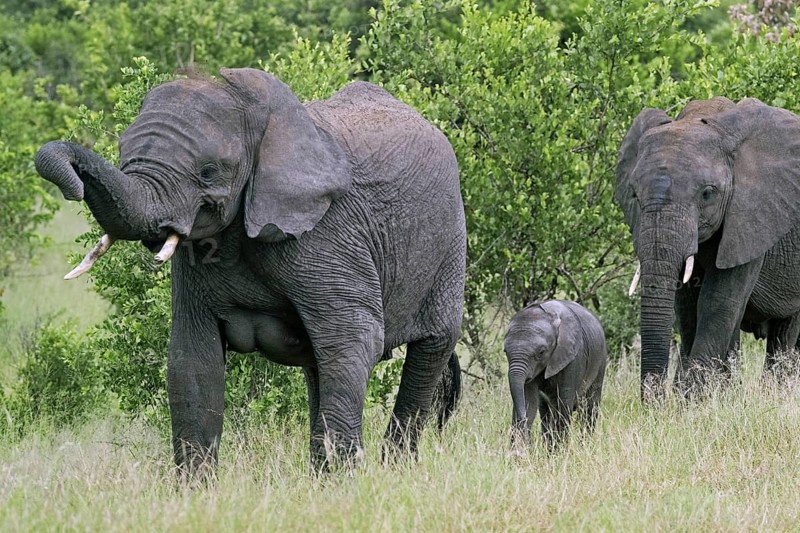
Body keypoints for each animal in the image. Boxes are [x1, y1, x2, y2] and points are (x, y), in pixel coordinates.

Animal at [34, 68, 467, 474]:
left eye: (209, 171)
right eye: (122, 152)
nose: (73, 181)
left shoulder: (332, 234)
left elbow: (354, 340)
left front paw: (344, 487)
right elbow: (193, 360)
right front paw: (195, 493)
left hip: (448, 241)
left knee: (430, 350)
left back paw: (393, 469)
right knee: (318, 367)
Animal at [505, 300, 607, 450]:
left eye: (541, 352)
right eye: (505, 352)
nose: (529, 444)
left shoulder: (572, 358)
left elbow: (562, 405)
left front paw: (558, 453)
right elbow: (529, 401)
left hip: (600, 362)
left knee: (589, 407)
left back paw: (585, 446)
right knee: (545, 412)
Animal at [616, 96, 800, 399]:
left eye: (707, 193)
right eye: (633, 194)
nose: (656, 403)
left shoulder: (752, 218)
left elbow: (717, 302)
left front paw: (692, 398)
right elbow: (687, 306)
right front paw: (694, 398)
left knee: (785, 333)